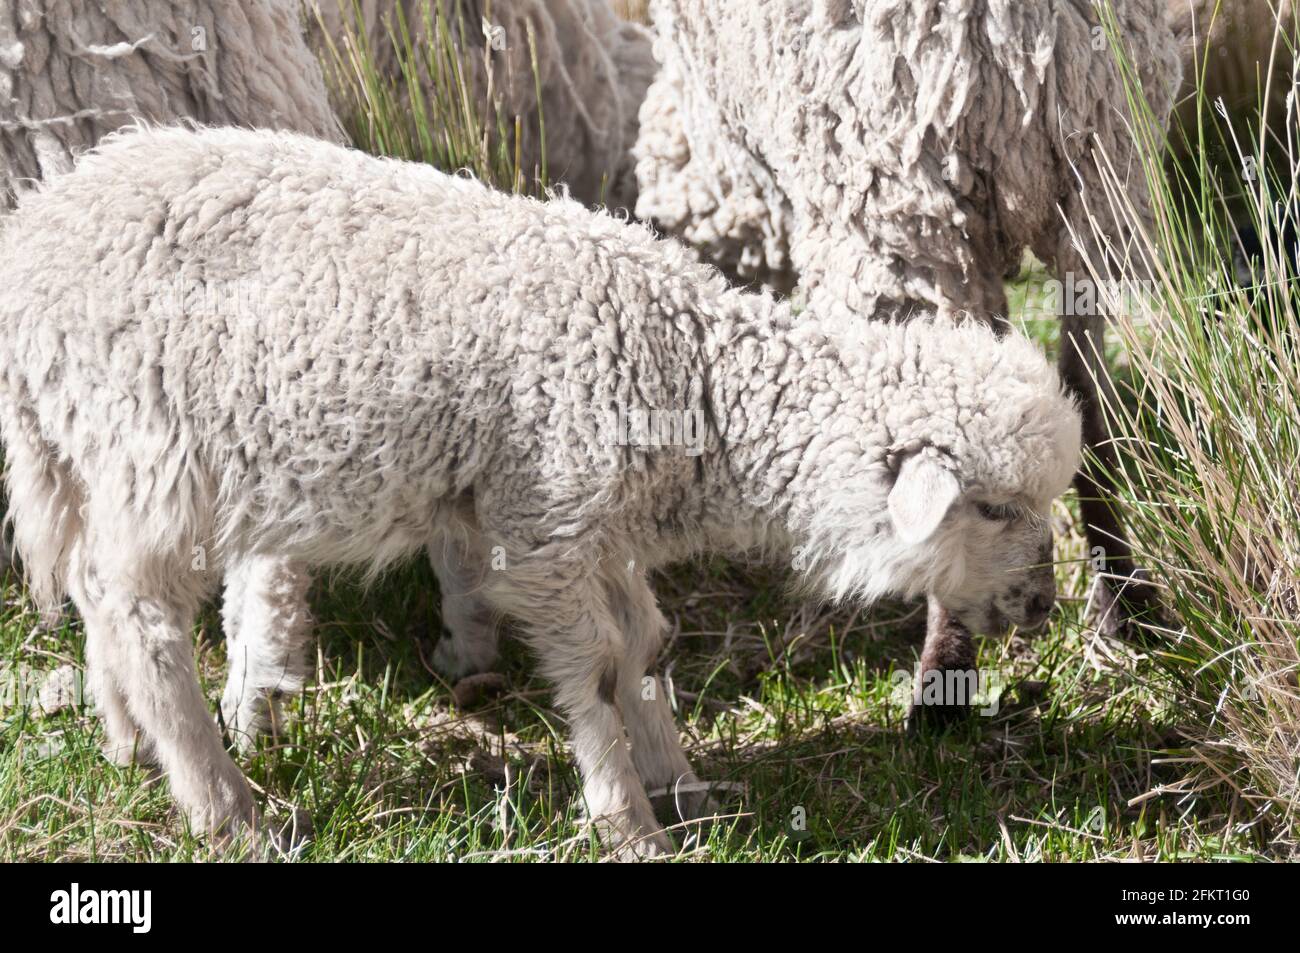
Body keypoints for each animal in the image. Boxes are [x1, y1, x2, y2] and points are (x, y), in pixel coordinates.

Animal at [631, 0, 1190, 696]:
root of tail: (1019, 30)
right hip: (1100, 165)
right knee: (1085, 389)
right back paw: (1120, 595)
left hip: (904, 189)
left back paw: (943, 665)